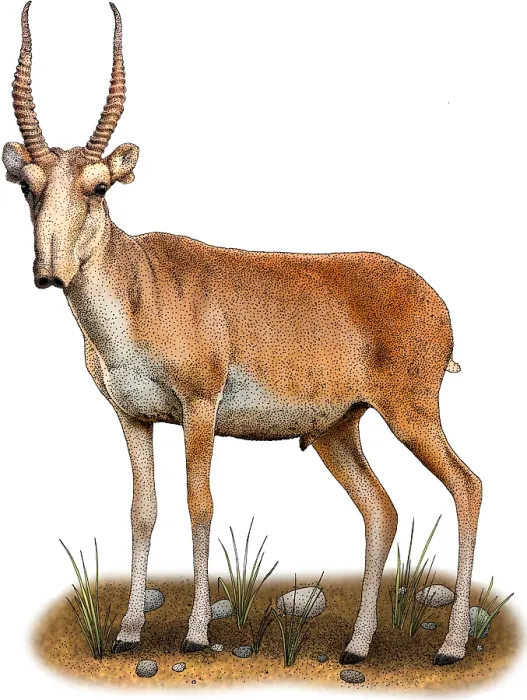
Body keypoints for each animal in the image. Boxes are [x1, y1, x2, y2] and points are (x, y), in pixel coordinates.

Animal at [4, 2, 482, 666]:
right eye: (27, 186)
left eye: (98, 186)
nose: (48, 272)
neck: (141, 286)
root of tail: (435, 301)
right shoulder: (133, 417)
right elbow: (143, 511)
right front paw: (127, 632)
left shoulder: (200, 408)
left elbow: (200, 505)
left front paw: (197, 634)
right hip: (337, 431)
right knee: (381, 509)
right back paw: (356, 648)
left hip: (412, 415)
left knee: (467, 486)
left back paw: (451, 648)